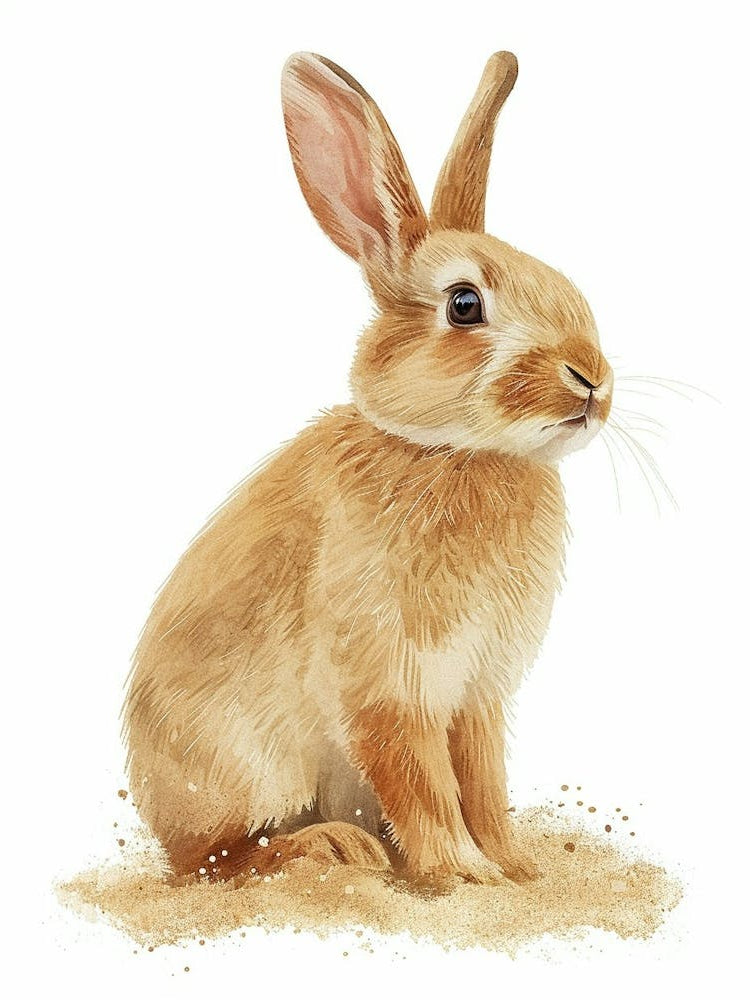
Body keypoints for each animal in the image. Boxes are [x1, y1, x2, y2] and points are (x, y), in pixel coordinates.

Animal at [124, 50, 613, 886]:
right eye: (463, 304)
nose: (592, 379)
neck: (452, 452)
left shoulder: (477, 695)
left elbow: (483, 783)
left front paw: (516, 868)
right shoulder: (387, 685)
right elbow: (422, 783)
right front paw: (461, 873)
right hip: (241, 767)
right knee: (213, 859)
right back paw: (327, 847)